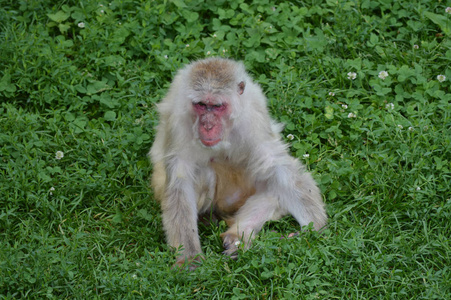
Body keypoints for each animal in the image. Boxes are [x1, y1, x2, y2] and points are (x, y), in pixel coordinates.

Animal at [150, 57, 326, 268]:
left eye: (217, 106)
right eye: (201, 104)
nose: (207, 125)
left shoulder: (254, 117)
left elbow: (276, 165)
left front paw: (313, 228)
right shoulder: (179, 121)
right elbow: (180, 181)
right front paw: (190, 257)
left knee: (273, 187)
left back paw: (237, 236)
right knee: (202, 174)